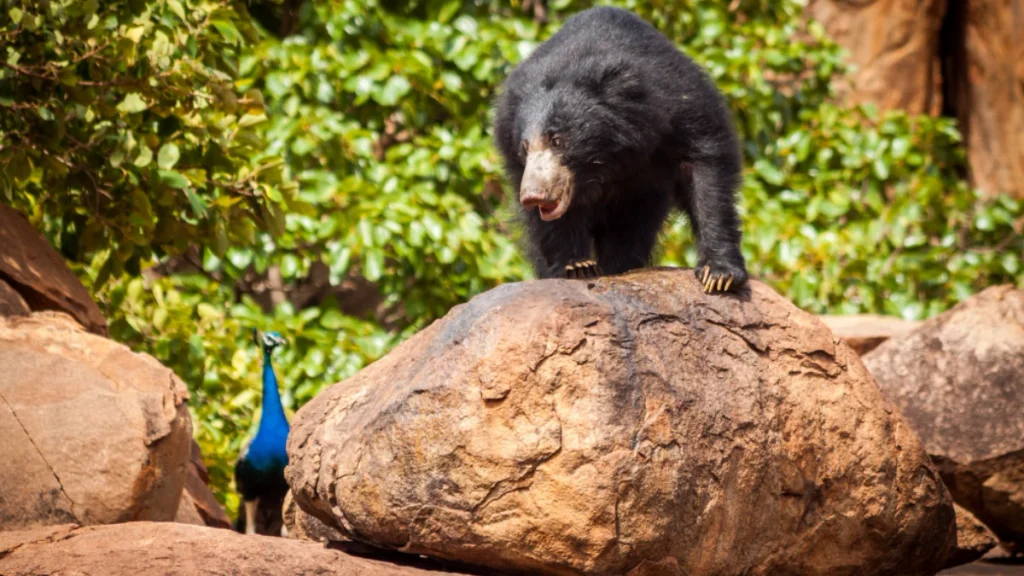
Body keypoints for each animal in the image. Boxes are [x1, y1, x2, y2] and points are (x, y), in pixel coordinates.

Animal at [494, 6, 748, 293]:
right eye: (524, 148)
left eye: (557, 140)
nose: (533, 196)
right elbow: (549, 225)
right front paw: (576, 266)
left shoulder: (684, 108)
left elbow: (706, 176)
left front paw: (719, 275)